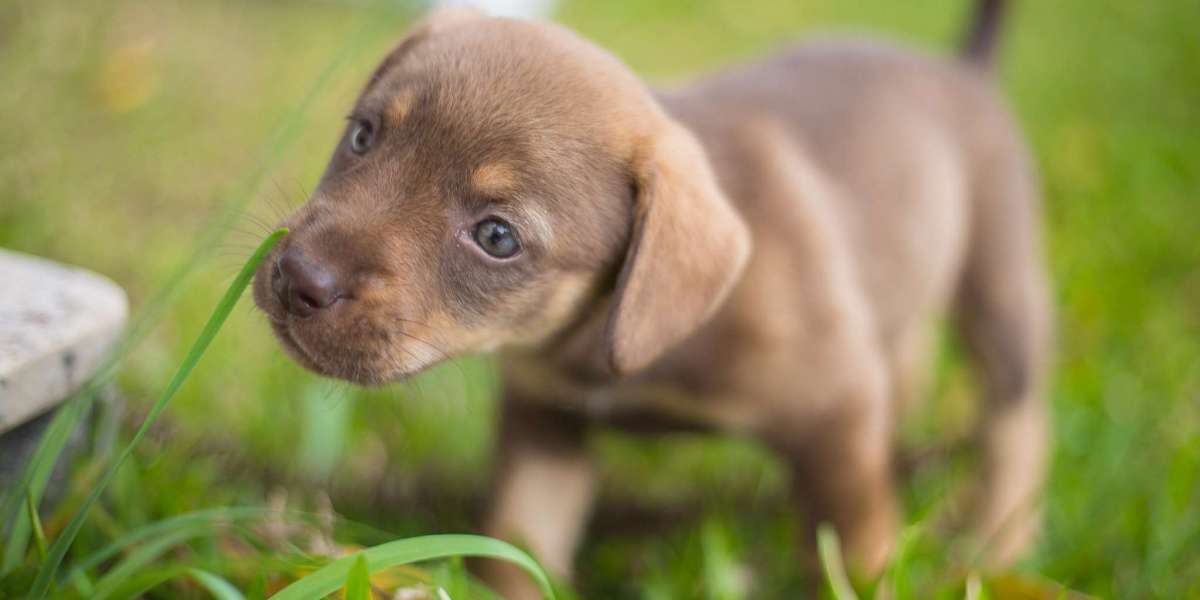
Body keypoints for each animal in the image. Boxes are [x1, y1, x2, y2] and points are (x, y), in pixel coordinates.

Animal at [253, 1, 1051, 595]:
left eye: (497, 237)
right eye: (362, 136)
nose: (298, 278)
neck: (604, 343)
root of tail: (962, 67)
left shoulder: (837, 412)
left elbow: (854, 553)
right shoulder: (547, 422)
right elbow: (520, 539)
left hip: (1000, 286)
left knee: (1017, 425)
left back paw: (996, 546)